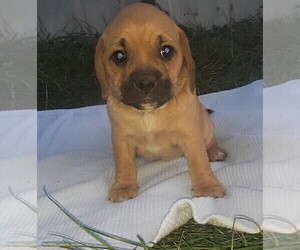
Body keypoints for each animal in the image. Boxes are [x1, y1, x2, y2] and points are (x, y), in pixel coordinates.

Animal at [95, 2, 226, 202]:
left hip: (206, 127)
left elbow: (199, 161)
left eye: (166, 51)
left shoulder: (191, 135)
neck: (149, 113)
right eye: (119, 56)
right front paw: (123, 186)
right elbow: (124, 164)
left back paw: (214, 151)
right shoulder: (121, 139)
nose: (145, 82)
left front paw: (206, 185)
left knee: (209, 143)